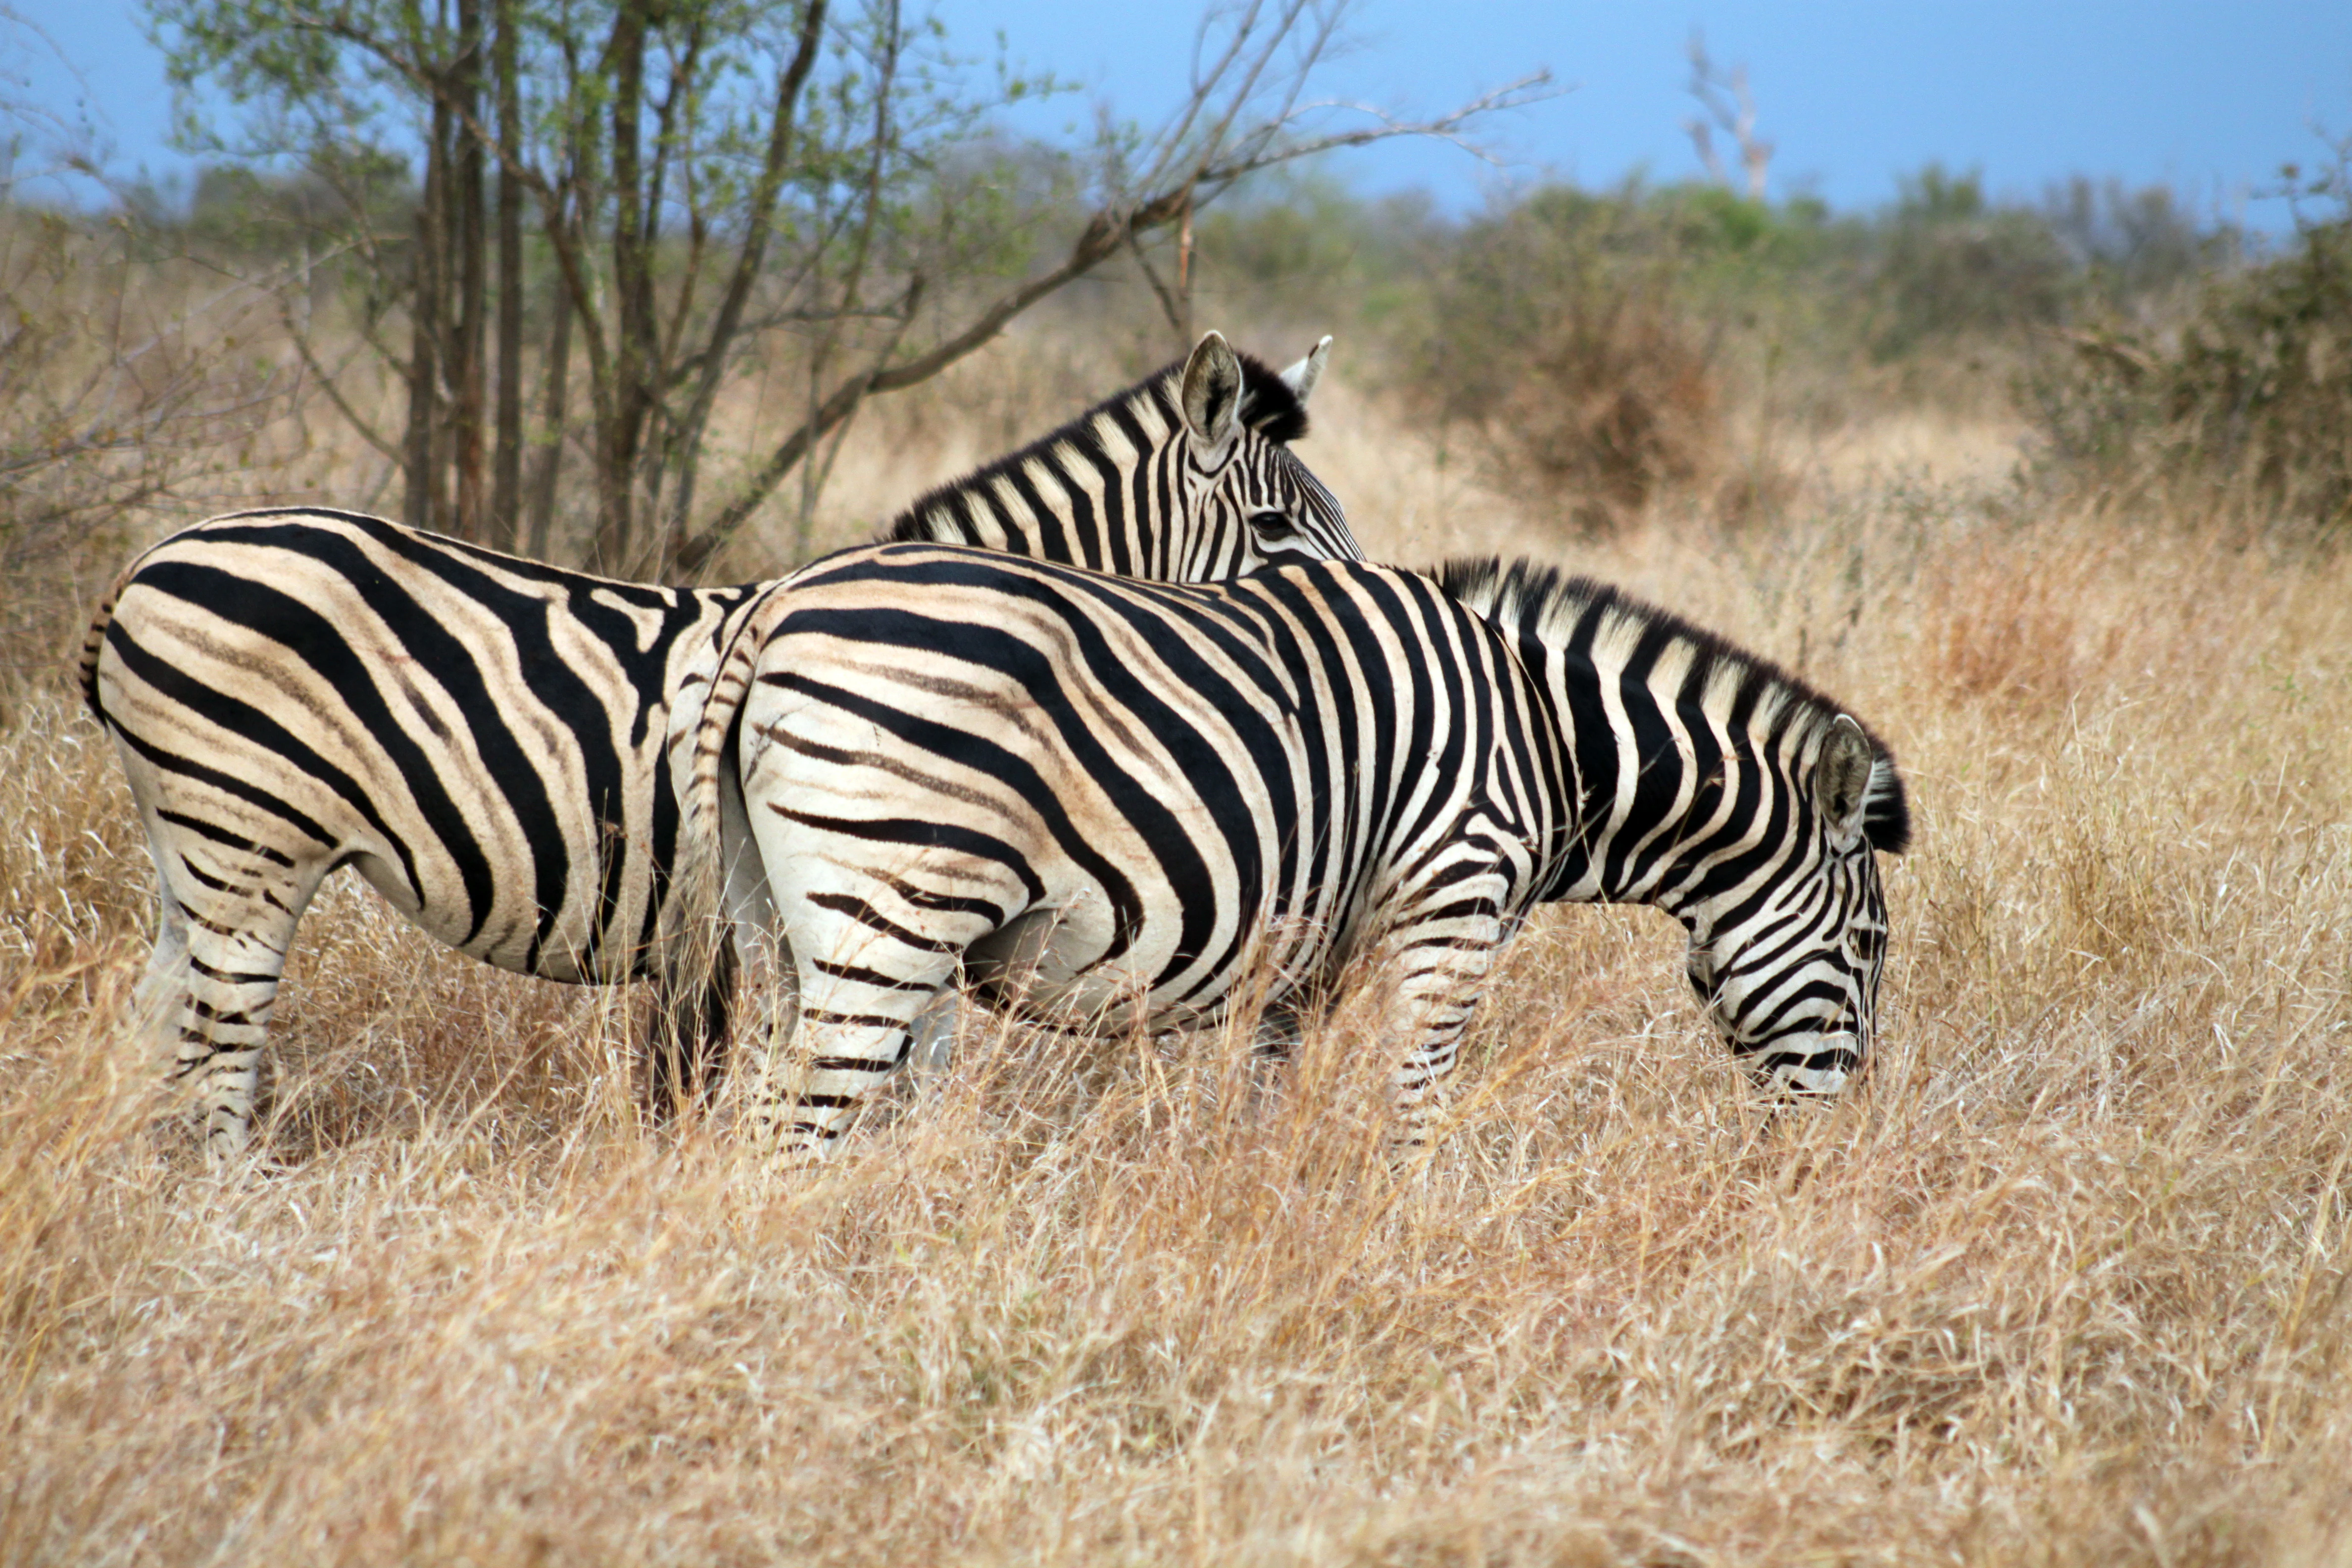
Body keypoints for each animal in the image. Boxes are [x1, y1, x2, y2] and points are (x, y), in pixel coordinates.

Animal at [79, 330, 1362, 1160]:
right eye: (1273, 528)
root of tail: (152, 559)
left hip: (191, 853)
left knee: (151, 1032)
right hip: (249, 843)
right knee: (215, 1057)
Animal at [674, 543, 1910, 1157]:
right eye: (1866, 947)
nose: (1830, 1147)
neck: (1549, 742)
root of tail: (776, 604)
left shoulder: (1308, 954)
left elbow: (1275, 1096)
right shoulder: (1454, 905)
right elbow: (1416, 1099)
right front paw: (1408, 1237)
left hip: (785, 914)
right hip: (895, 902)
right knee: (798, 1123)